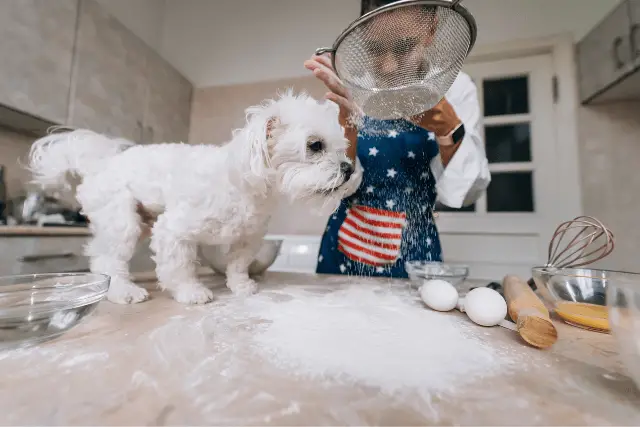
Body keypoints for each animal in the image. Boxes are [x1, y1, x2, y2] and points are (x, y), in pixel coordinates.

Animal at [27, 91, 358, 304]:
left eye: (342, 149)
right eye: (315, 145)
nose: (349, 168)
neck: (243, 182)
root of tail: (101, 163)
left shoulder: (247, 239)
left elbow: (237, 265)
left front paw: (242, 287)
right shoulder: (173, 232)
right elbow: (179, 268)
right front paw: (190, 292)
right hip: (123, 222)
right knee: (107, 259)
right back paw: (123, 291)